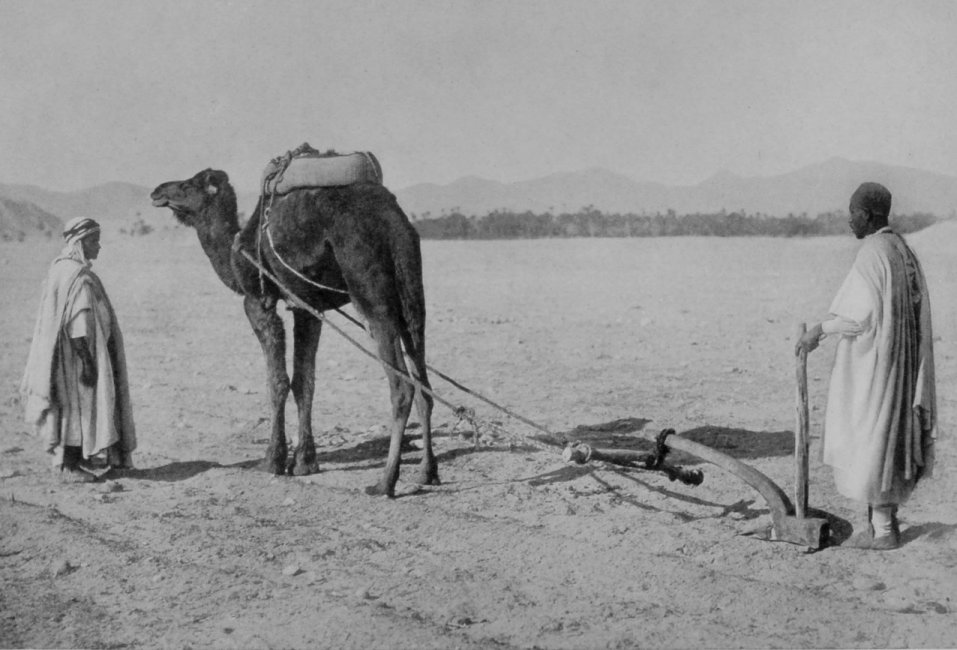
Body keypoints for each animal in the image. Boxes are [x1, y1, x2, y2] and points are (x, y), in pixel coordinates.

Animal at [150, 167, 437, 497]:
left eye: (187, 185)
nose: (157, 191)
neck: (238, 252)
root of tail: (393, 220)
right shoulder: (306, 307)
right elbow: (304, 382)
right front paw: (304, 462)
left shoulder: (257, 302)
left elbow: (277, 381)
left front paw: (272, 460)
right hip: (411, 291)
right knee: (423, 382)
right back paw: (426, 472)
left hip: (370, 290)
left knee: (401, 386)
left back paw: (385, 482)